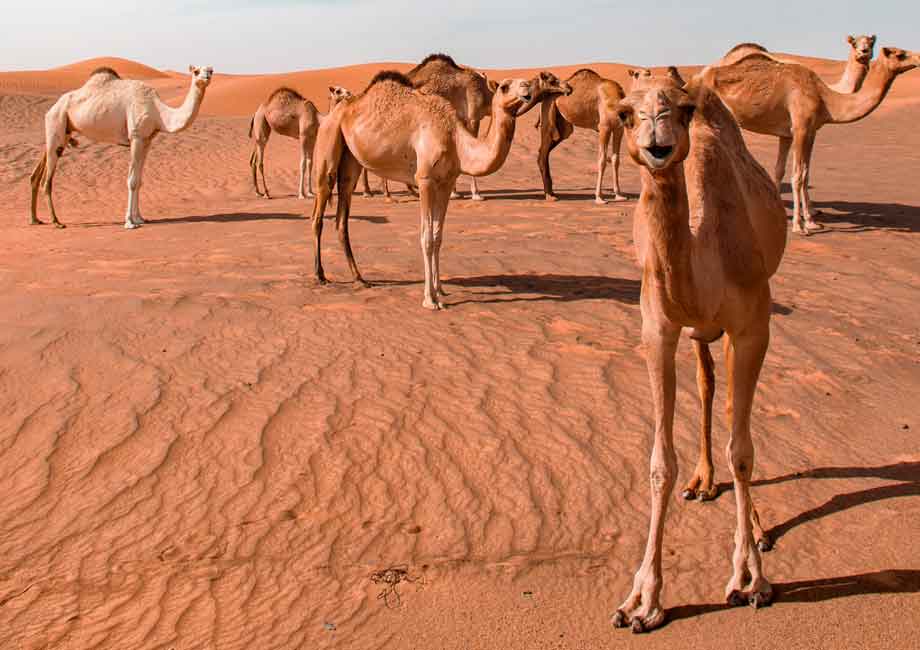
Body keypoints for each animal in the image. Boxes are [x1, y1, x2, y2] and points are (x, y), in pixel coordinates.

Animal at [29, 66, 212, 230]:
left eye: (210, 70)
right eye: (196, 71)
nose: (206, 77)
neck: (158, 112)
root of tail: (51, 108)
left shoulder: (147, 140)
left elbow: (139, 180)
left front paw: (140, 218)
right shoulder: (136, 136)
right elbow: (132, 181)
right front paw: (130, 222)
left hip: (63, 132)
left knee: (41, 167)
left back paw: (35, 219)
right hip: (56, 121)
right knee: (47, 180)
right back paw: (56, 222)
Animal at [309, 70, 568, 309]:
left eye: (525, 82)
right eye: (504, 86)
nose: (526, 86)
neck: (456, 140)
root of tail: (334, 114)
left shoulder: (446, 182)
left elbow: (438, 236)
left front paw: (440, 289)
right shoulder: (425, 179)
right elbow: (426, 238)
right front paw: (430, 299)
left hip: (350, 163)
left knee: (342, 218)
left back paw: (359, 278)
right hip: (327, 146)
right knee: (318, 213)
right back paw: (320, 275)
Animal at [537, 68, 627, 204]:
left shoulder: (619, 128)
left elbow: (616, 160)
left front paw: (619, 195)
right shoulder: (604, 127)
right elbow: (602, 160)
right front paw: (599, 197)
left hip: (564, 127)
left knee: (547, 149)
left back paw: (552, 192)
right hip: (548, 113)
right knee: (543, 151)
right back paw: (549, 195)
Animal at [609, 74, 787, 633]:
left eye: (682, 110)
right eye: (626, 113)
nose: (658, 145)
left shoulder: (752, 324)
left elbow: (744, 450)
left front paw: (749, 578)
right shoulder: (658, 329)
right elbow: (659, 463)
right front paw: (641, 600)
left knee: (730, 411)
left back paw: (757, 530)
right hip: (696, 333)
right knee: (708, 386)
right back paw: (703, 482)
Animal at [701, 46, 920, 235]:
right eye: (900, 54)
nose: (918, 57)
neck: (826, 99)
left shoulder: (803, 132)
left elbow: (802, 174)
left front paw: (811, 221)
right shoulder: (801, 127)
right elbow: (797, 176)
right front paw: (799, 226)